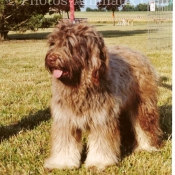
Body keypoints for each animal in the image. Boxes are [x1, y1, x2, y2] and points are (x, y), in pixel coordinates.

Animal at [44, 20, 163, 170]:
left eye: (70, 44)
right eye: (53, 43)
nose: (50, 59)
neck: (80, 85)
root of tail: (137, 53)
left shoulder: (102, 118)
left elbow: (101, 143)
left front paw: (98, 162)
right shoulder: (65, 119)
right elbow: (65, 143)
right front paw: (62, 163)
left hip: (142, 105)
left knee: (145, 126)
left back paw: (146, 147)